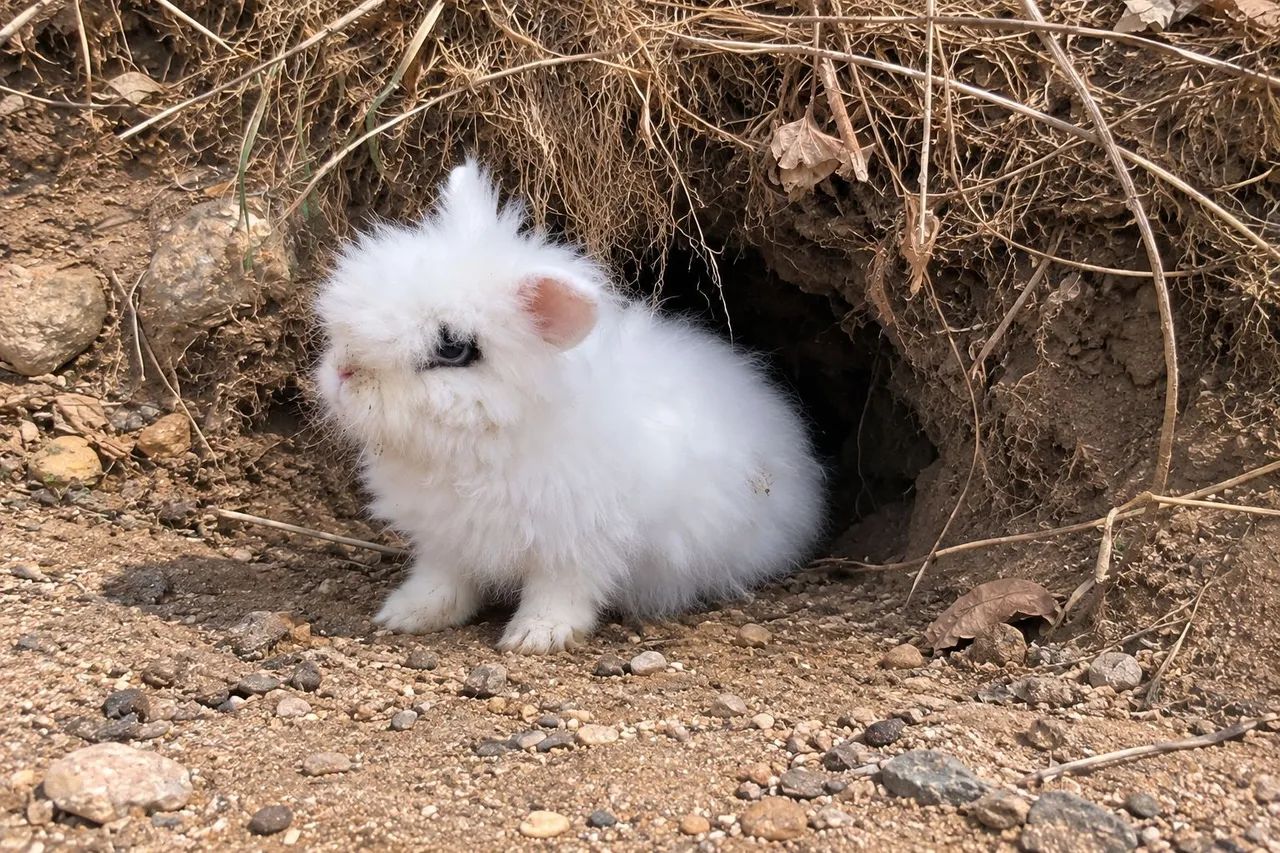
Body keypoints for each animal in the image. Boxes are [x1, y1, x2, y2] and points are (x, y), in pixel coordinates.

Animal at [313, 160, 826, 654]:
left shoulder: (578, 543)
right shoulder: (446, 541)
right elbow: (442, 581)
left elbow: (560, 592)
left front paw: (536, 637)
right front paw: (406, 615)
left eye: (452, 349)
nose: (343, 373)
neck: (487, 443)